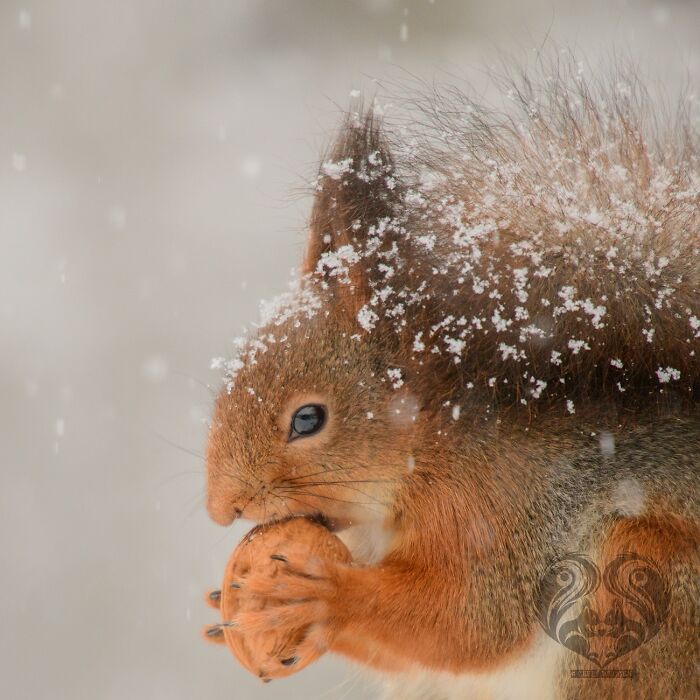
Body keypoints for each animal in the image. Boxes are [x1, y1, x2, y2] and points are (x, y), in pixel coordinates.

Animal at [205, 63, 699, 699]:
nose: (222, 508)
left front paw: (324, 595)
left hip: (652, 594)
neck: (429, 448)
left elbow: (471, 621)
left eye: (308, 419)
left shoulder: (504, 507)